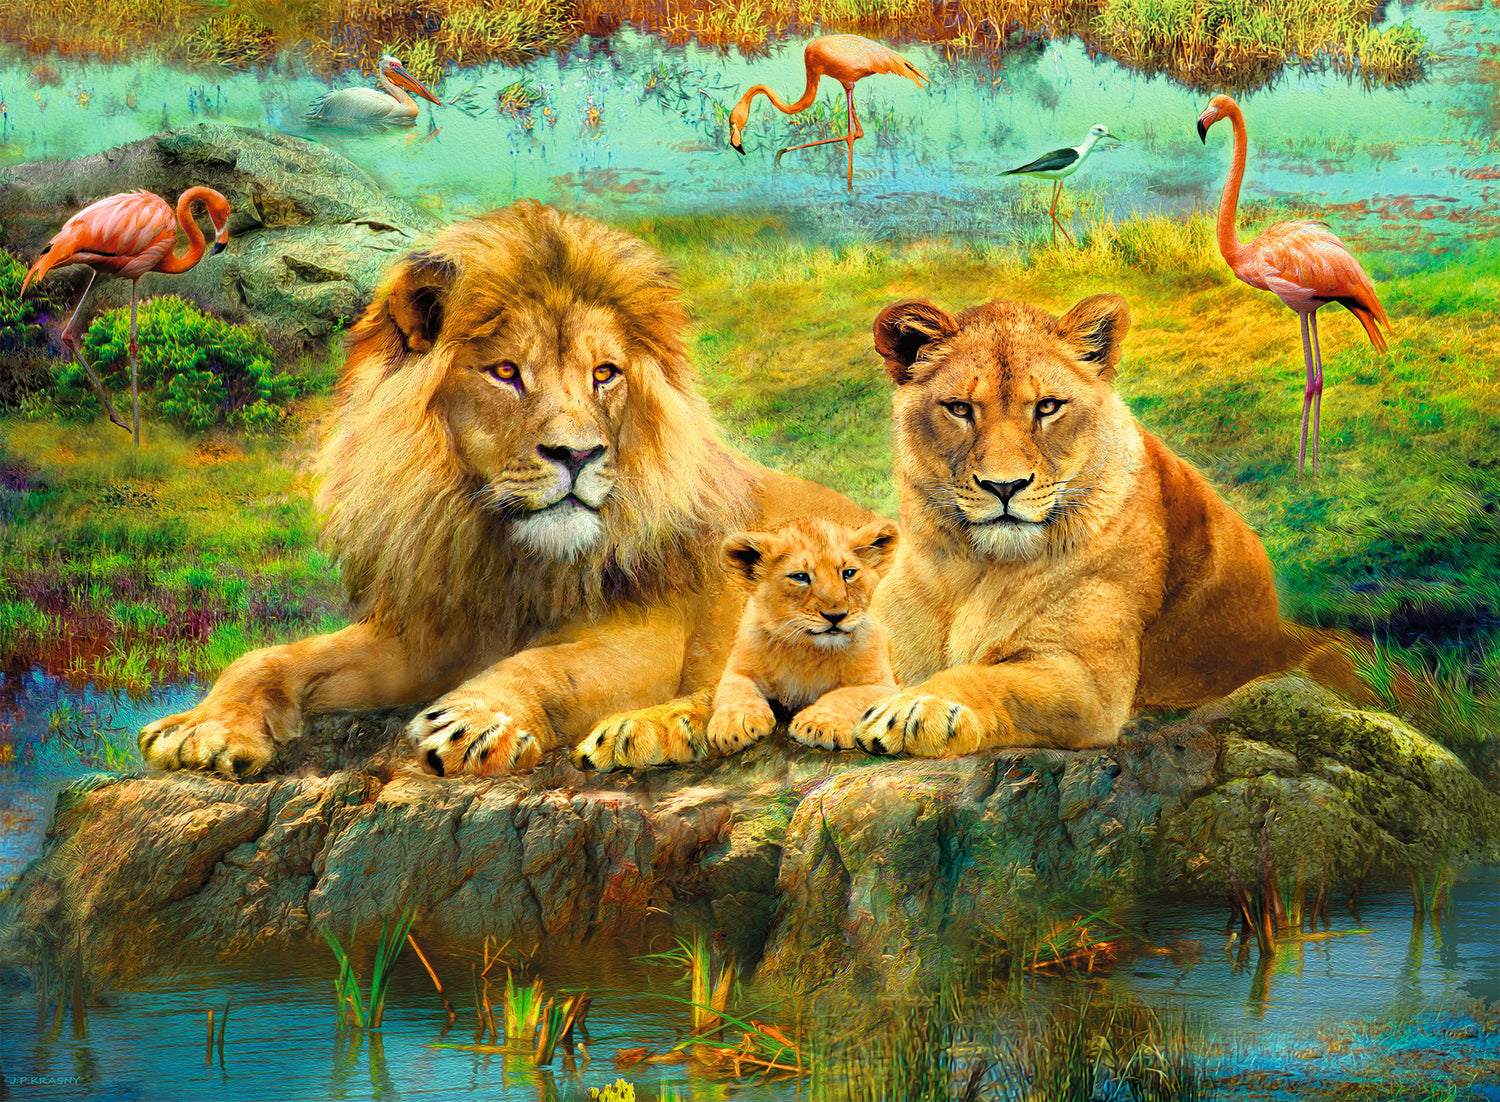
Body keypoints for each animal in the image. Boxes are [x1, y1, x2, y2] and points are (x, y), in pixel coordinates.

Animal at [139, 202, 870, 778]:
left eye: (605, 373)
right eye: (506, 372)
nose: (578, 454)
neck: (507, 555)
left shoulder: (648, 638)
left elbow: (546, 667)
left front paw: (477, 719)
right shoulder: (430, 635)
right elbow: (270, 657)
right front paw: (203, 726)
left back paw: (648, 729)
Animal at [707, 517, 899, 757]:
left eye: (848, 573)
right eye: (800, 577)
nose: (836, 616)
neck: (807, 650)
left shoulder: (884, 685)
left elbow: (847, 696)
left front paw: (819, 725)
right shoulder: (738, 669)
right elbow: (736, 690)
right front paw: (733, 725)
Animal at [853, 292, 1362, 757]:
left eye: (1048, 407)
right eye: (959, 408)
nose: (1004, 486)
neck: (971, 570)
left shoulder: (1087, 683)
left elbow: (987, 677)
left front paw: (919, 707)